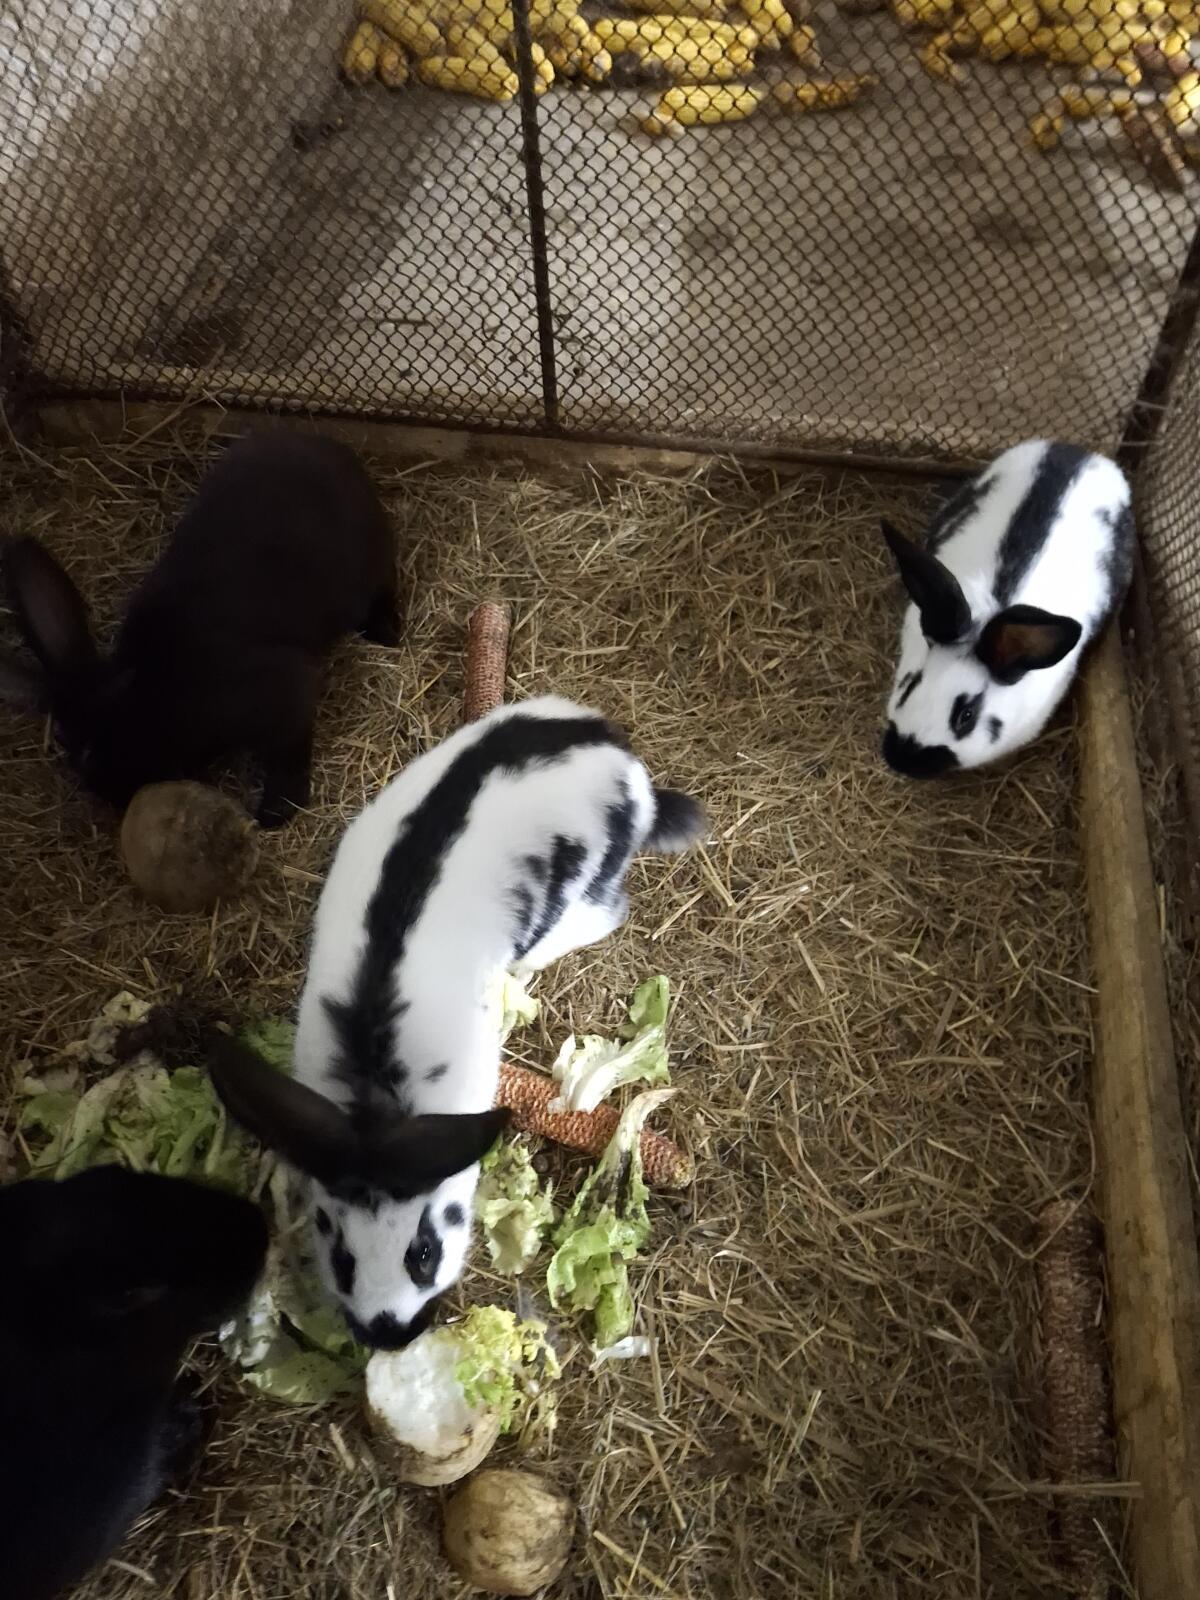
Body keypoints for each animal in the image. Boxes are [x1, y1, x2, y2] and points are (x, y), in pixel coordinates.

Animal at [2, 432, 399, 827]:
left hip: (366, 566)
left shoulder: (283, 693)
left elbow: (289, 752)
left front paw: (275, 812)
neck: (150, 693)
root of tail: (338, 453)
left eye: (93, 752)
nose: (118, 797)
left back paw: (386, 632)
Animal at [208, 694, 705, 1349]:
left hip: (585, 886)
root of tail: (622, 763)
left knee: (606, 913)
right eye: (340, 1256)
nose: (388, 1334)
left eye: (422, 1251)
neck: (378, 1101)